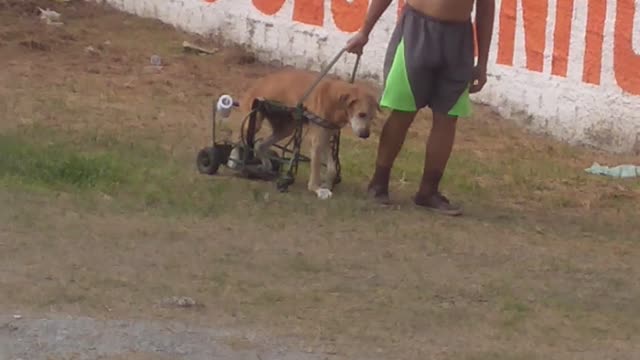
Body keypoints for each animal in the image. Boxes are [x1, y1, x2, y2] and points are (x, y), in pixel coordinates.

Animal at [232, 67, 380, 200]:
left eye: (372, 117)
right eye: (361, 114)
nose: (365, 135)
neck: (334, 100)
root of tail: (255, 84)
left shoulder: (325, 138)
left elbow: (332, 169)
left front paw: (327, 184)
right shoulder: (317, 141)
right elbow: (315, 171)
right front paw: (317, 190)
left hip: (286, 129)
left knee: (260, 145)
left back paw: (267, 166)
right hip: (254, 121)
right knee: (237, 138)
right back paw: (234, 160)